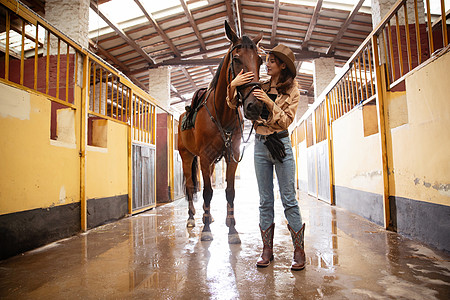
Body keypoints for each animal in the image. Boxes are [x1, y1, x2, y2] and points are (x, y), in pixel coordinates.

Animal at [178, 21, 264, 243]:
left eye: (260, 60)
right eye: (236, 58)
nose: (255, 106)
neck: (221, 112)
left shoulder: (231, 156)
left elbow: (230, 191)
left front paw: (232, 229)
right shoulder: (205, 157)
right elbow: (207, 191)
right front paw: (206, 230)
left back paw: (209, 216)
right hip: (187, 157)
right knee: (190, 186)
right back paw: (192, 218)